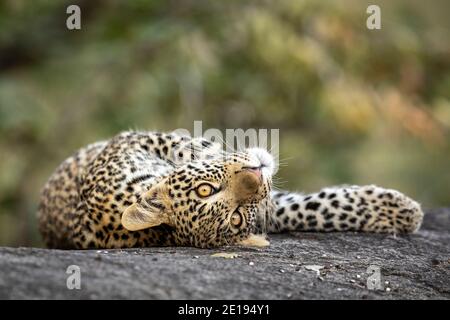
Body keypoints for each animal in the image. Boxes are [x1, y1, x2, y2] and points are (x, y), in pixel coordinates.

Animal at [37, 130, 424, 250]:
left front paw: (397, 210)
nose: (255, 172)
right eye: (235, 218)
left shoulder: (137, 140)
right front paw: (406, 211)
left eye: (205, 189)